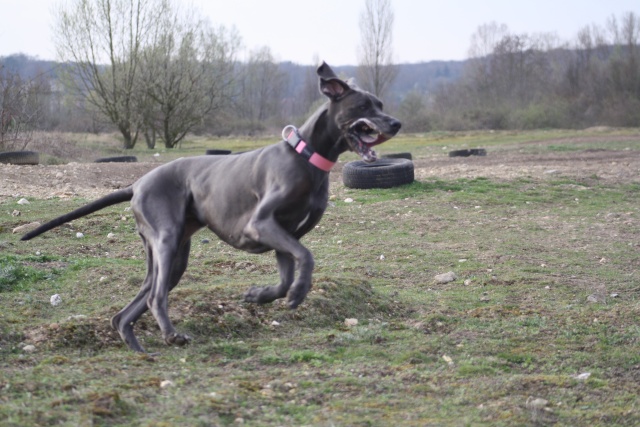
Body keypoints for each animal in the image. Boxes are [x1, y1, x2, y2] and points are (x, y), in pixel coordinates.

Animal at [22, 61, 402, 352]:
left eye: (382, 104)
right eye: (365, 107)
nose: (396, 123)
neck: (306, 156)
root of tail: (137, 183)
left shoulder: (284, 234)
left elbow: (285, 275)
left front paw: (260, 295)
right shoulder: (262, 224)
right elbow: (306, 258)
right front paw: (297, 293)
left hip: (173, 257)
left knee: (129, 309)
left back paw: (139, 349)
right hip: (167, 239)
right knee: (155, 297)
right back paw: (171, 334)